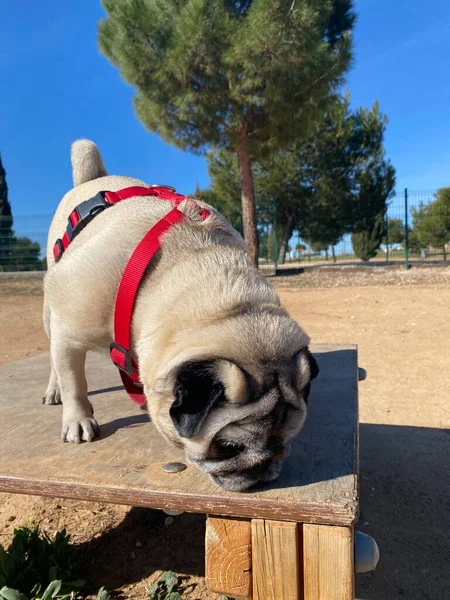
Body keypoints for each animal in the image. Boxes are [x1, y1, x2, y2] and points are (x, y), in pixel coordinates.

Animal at [41, 141, 316, 492]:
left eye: (285, 442)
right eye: (227, 448)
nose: (261, 471)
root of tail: (95, 178)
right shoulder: (69, 330)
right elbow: (74, 380)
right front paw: (77, 418)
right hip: (51, 312)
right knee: (56, 361)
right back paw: (55, 391)